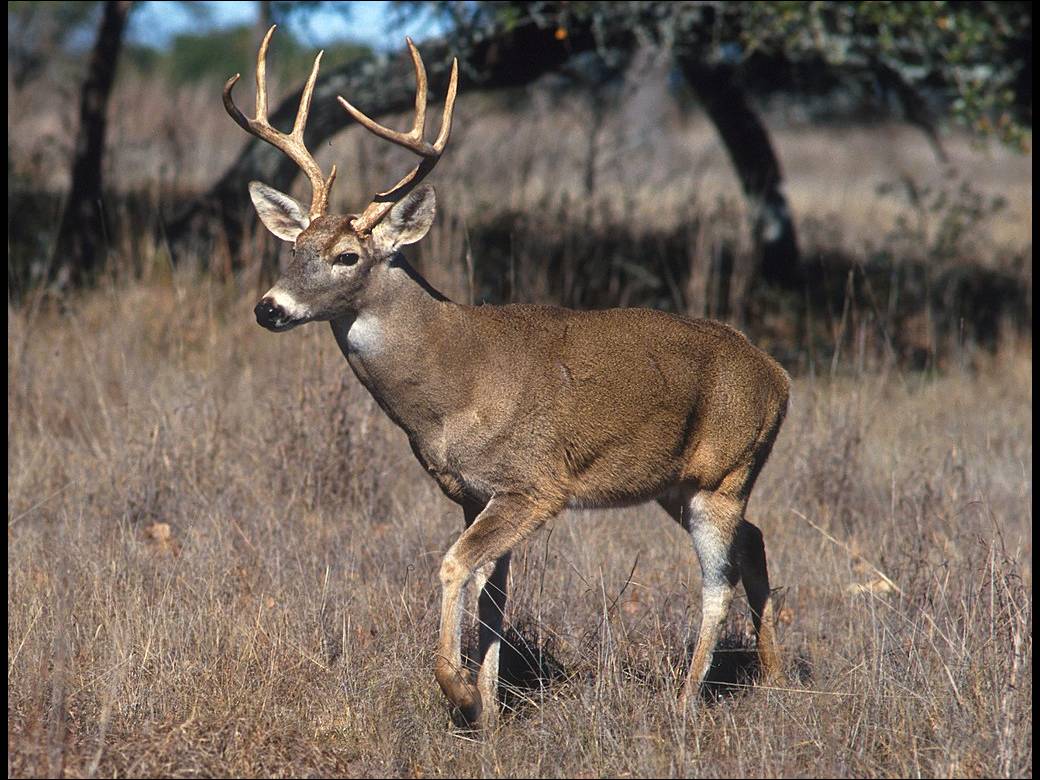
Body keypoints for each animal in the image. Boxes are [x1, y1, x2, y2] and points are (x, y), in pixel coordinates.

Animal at [223, 27, 782, 732]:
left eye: (347, 256)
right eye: (293, 249)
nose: (269, 308)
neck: (451, 386)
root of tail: (779, 377)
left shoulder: (534, 483)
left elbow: (454, 565)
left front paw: (459, 692)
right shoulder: (472, 491)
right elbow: (493, 594)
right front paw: (487, 709)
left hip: (723, 474)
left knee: (718, 580)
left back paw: (683, 702)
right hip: (678, 484)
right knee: (754, 544)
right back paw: (773, 673)